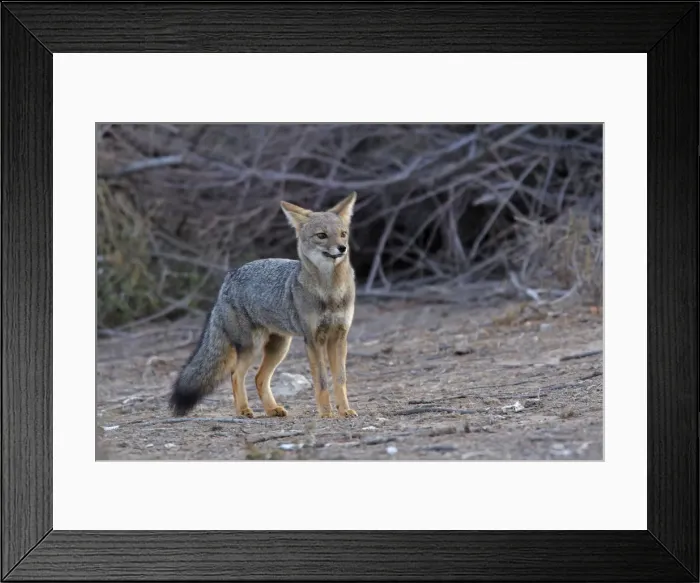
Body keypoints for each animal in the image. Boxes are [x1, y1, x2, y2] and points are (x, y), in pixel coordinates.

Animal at [169, 191, 358, 419]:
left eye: (343, 234)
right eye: (321, 235)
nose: (342, 248)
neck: (330, 292)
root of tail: (230, 276)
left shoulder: (339, 337)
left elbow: (340, 380)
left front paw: (345, 410)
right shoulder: (313, 340)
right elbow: (321, 381)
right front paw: (326, 413)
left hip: (279, 347)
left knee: (259, 378)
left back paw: (271, 409)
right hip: (253, 346)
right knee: (236, 374)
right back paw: (243, 410)